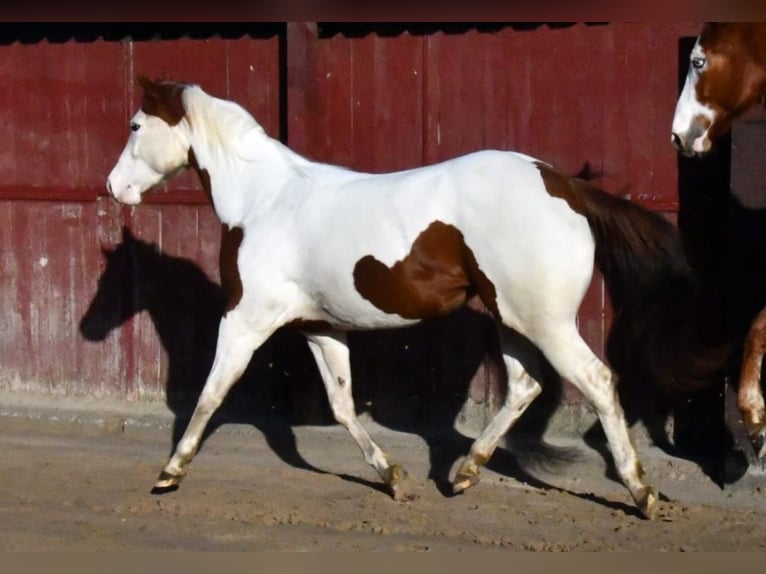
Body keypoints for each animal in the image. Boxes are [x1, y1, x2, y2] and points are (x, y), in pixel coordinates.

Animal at [106, 75, 719, 520]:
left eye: (135, 125)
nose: (115, 188)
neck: (265, 200)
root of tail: (563, 183)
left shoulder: (245, 319)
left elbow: (210, 393)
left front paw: (170, 472)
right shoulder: (319, 328)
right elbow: (342, 406)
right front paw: (395, 480)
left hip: (547, 322)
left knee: (596, 381)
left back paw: (641, 493)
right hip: (512, 318)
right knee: (525, 386)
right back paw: (466, 471)